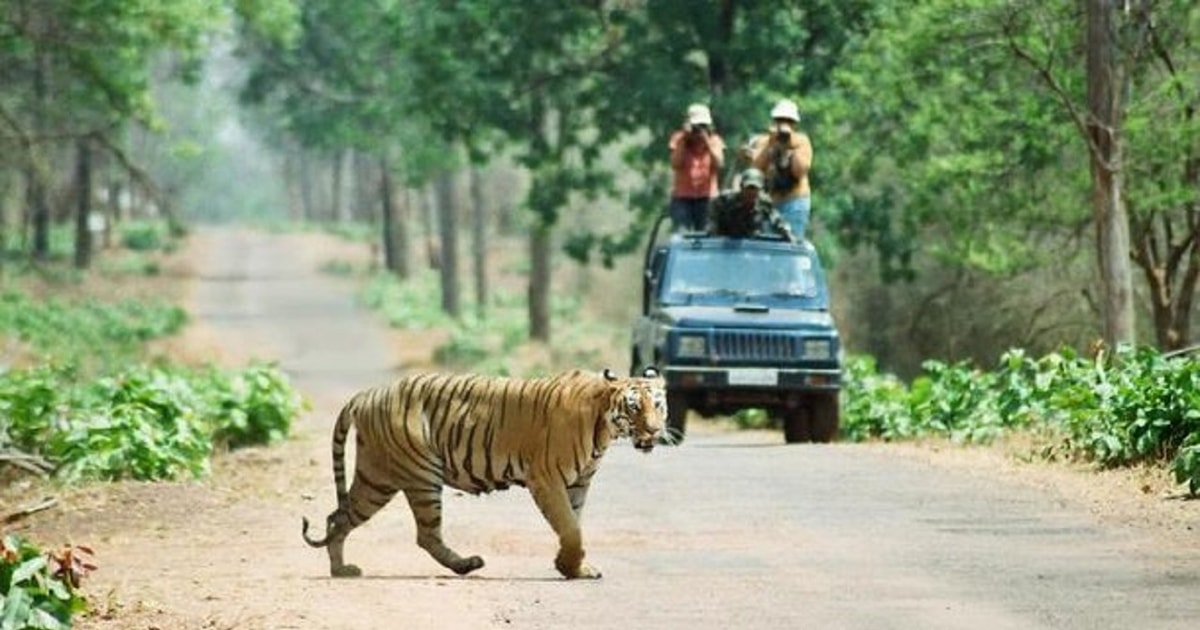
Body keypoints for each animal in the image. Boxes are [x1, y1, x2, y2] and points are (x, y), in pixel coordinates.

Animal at [302, 364, 667, 578]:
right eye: (634, 407)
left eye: (658, 405)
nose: (654, 430)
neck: (604, 427)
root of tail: (369, 394)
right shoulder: (547, 478)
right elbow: (570, 527)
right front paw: (569, 566)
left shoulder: (579, 483)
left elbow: (573, 525)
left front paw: (573, 567)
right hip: (420, 475)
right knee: (425, 534)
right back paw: (467, 565)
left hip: (376, 477)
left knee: (338, 516)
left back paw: (340, 568)